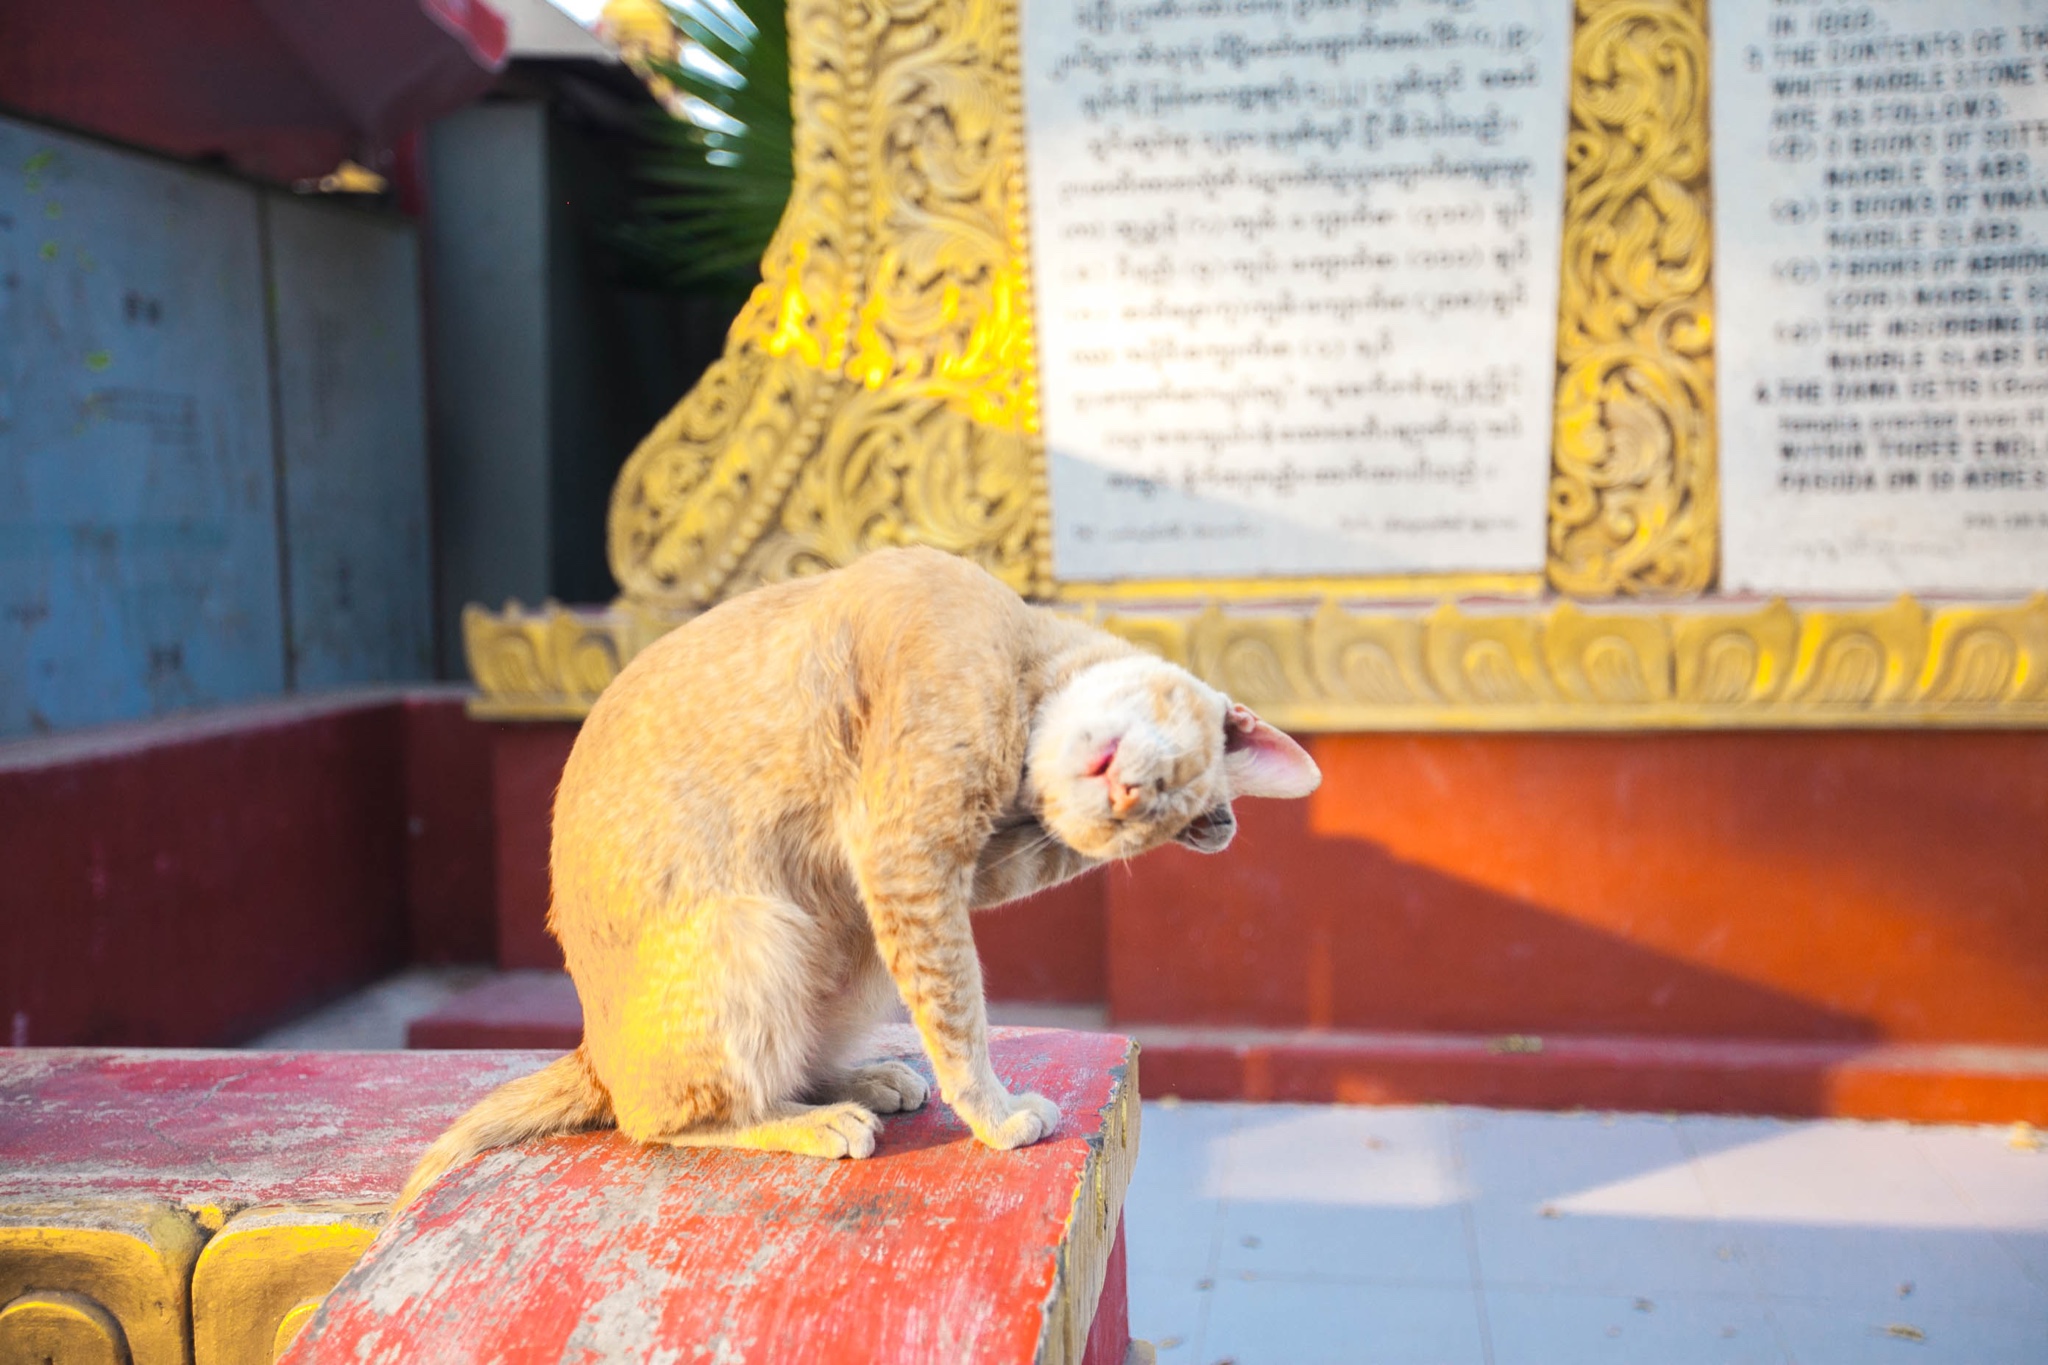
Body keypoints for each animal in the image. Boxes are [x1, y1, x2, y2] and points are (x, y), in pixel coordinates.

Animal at [397, 548, 1318, 1203]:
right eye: (1168, 781)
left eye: (1150, 820)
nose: (1126, 799)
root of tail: (590, 1048)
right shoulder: (907, 856)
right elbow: (962, 1014)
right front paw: (997, 1113)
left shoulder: (929, 868)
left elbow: (975, 962)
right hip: (756, 927)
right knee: (653, 1118)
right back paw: (812, 1121)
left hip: (844, 931)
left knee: (773, 1062)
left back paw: (863, 1080)